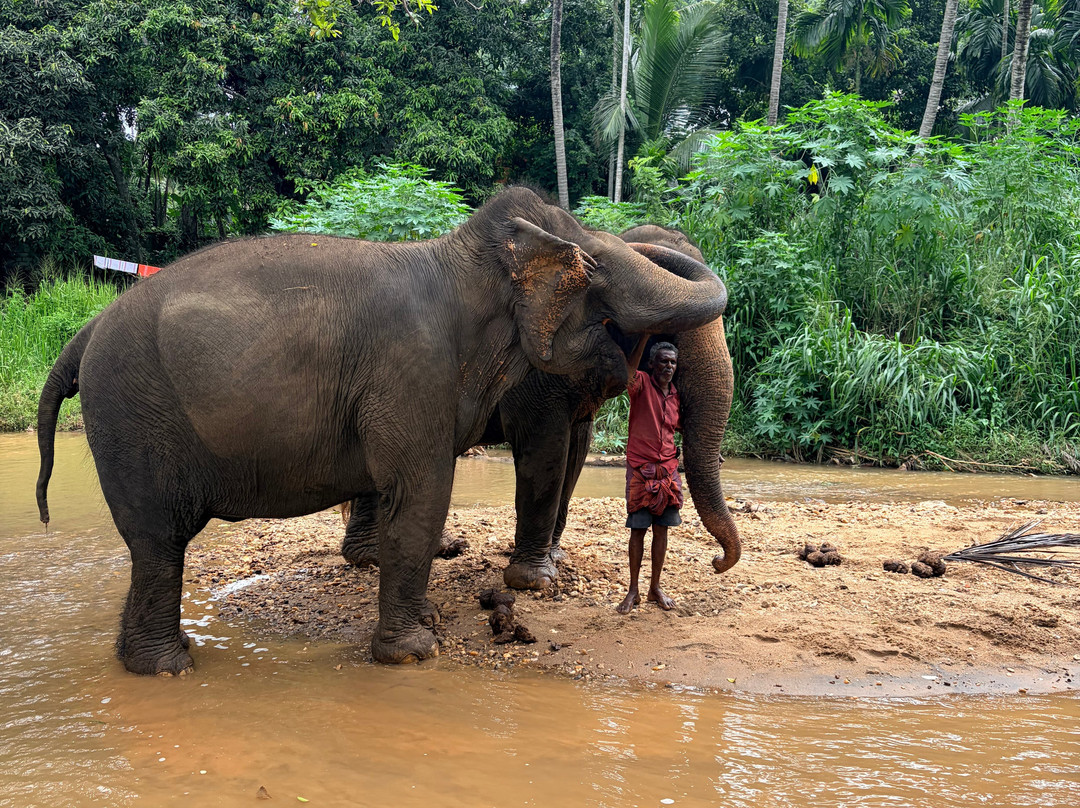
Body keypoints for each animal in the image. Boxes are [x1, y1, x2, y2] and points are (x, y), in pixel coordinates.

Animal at [340, 222, 741, 591]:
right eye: (670, 331)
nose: (717, 562)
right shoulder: (536, 378)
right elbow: (546, 452)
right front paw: (535, 579)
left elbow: (576, 452)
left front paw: (556, 556)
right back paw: (375, 557)